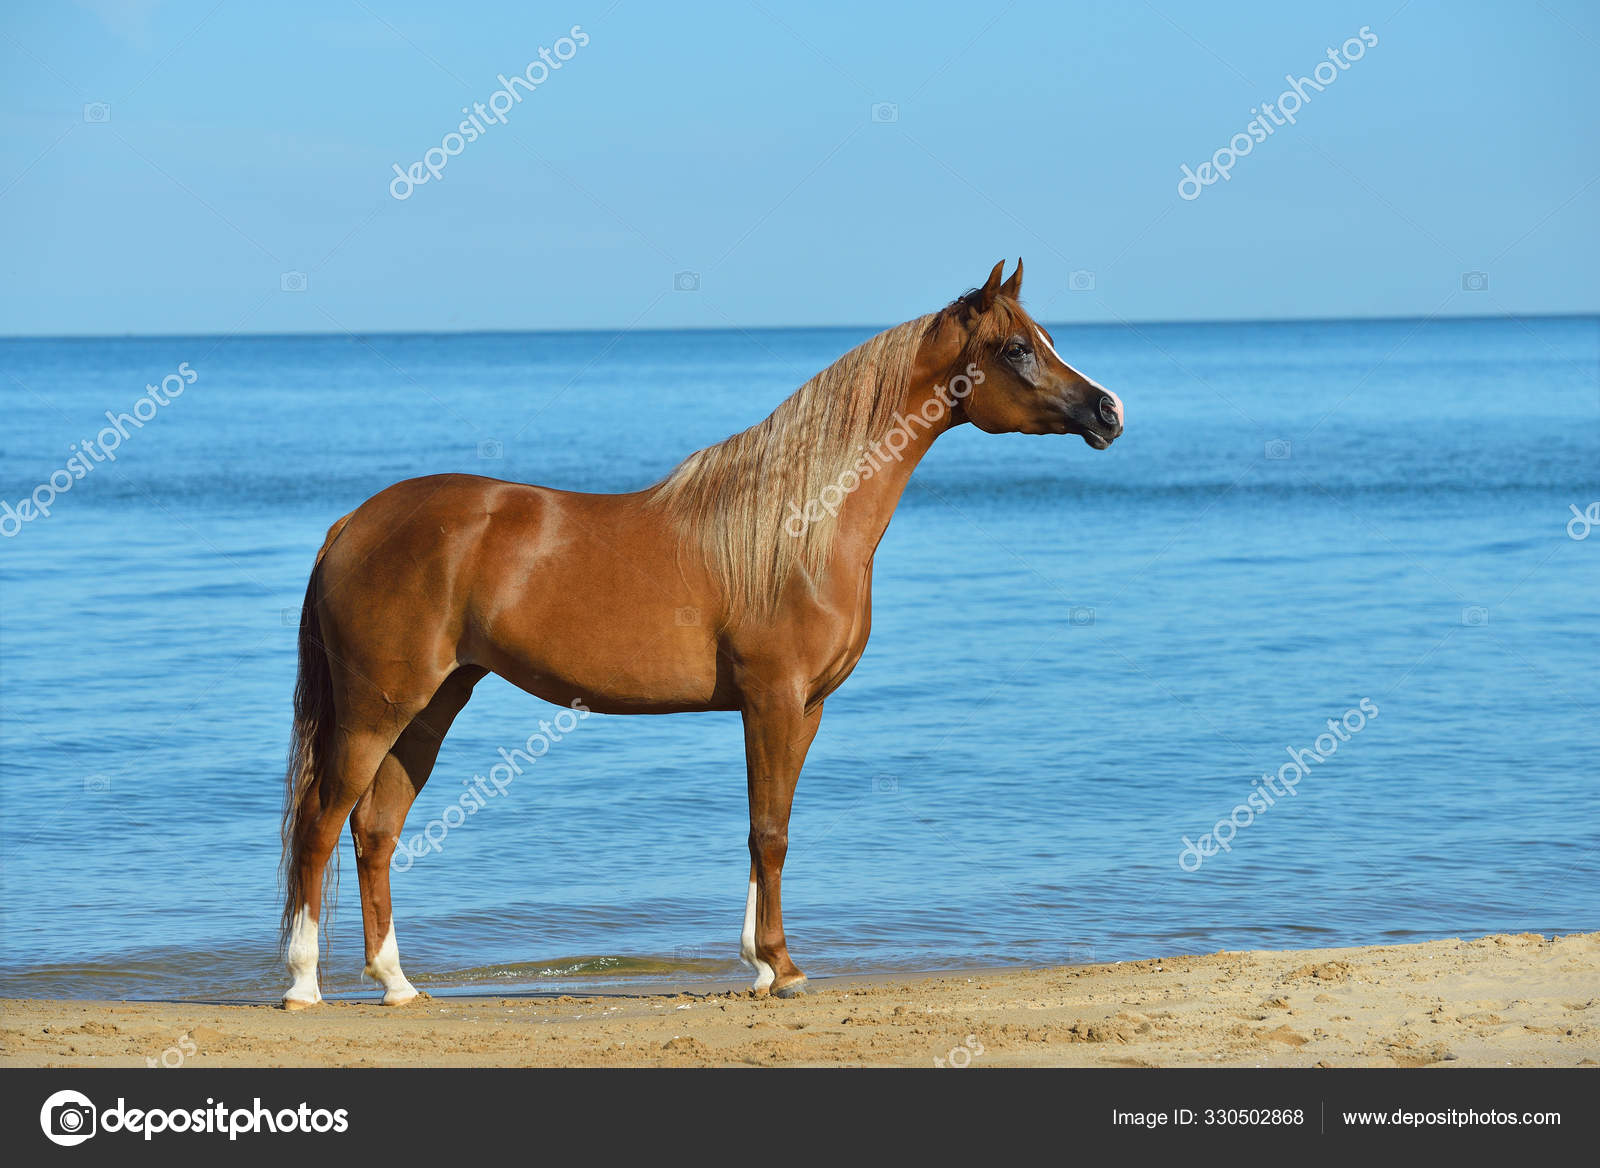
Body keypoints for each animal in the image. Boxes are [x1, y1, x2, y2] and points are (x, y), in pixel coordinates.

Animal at [275, 259, 1126, 1004]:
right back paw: (304, 986)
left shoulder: (804, 708)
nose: (1109, 411)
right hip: (376, 709)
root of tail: (353, 524)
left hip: (432, 704)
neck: (800, 528)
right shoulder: (773, 700)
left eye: (1046, 337)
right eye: (1017, 349)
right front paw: (783, 967)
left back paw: (397, 984)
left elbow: (766, 828)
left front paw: (760, 965)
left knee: (376, 830)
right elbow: (770, 832)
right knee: (321, 824)